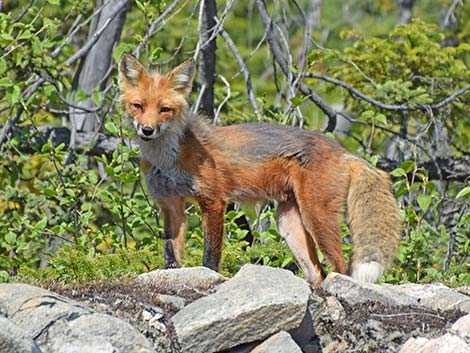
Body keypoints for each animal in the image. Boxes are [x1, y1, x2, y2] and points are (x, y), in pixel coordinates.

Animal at [117, 53, 400, 288]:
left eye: (164, 110)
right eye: (138, 106)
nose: (147, 130)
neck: (168, 159)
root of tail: (342, 150)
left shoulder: (214, 201)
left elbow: (211, 256)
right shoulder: (170, 205)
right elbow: (170, 253)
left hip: (316, 218)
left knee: (340, 267)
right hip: (288, 224)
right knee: (317, 272)